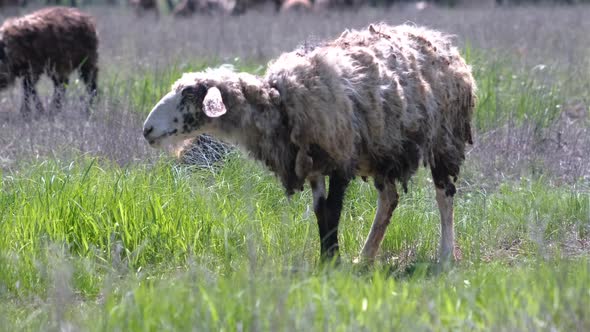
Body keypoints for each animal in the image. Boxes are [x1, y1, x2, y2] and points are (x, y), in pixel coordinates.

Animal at [145, 24, 480, 264]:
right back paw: (365, 256)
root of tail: (441, 41)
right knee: (390, 199)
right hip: (380, 150)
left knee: (444, 195)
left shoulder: (341, 156)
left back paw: (445, 257)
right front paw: (328, 259)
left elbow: (333, 209)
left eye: (189, 93)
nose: (147, 129)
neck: (279, 103)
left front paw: (332, 263)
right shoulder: (314, 163)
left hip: (444, 138)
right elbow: (320, 211)